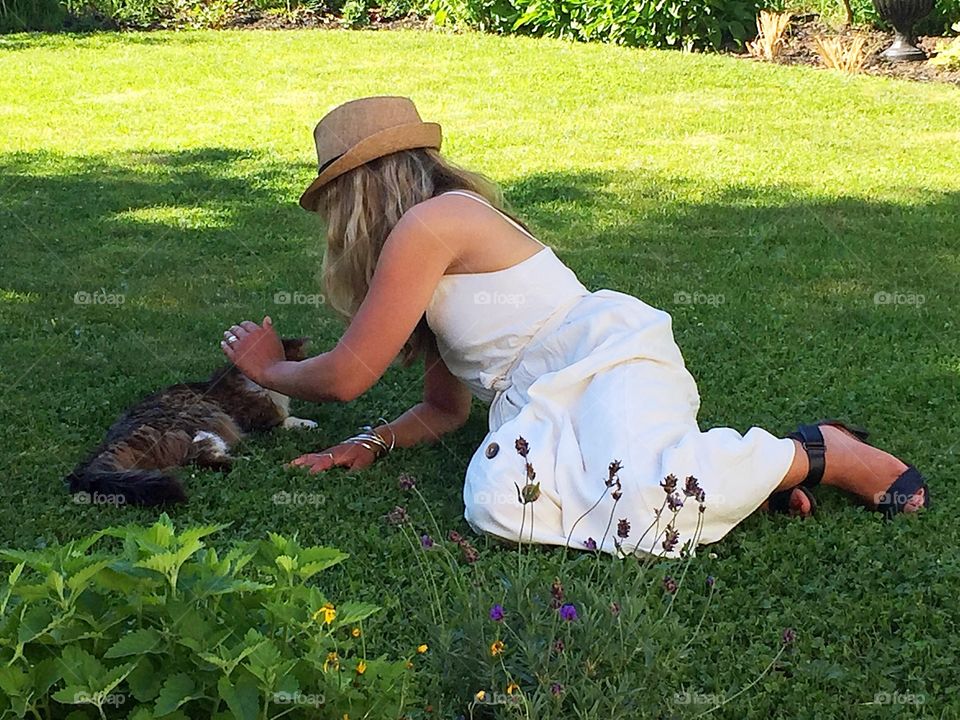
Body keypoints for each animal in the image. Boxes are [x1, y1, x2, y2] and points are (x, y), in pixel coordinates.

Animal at [67, 338, 316, 506]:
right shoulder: (260, 422)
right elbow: (286, 419)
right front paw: (308, 423)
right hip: (203, 422)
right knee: (201, 458)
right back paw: (253, 461)